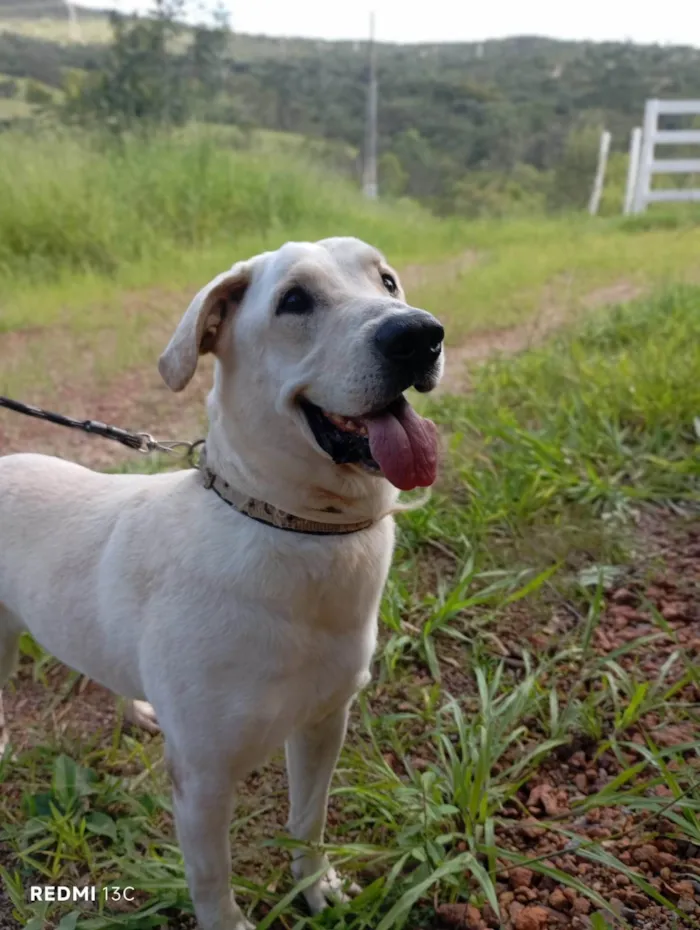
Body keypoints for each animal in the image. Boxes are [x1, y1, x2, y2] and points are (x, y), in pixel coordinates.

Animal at [1, 236, 442, 924]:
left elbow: (308, 820)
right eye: (294, 300)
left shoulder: (325, 721)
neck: (288, 526)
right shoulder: (203, 778)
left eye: (388, 281)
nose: (421, 335)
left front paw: (316, 885)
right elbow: (212, 879)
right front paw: (231, 920)